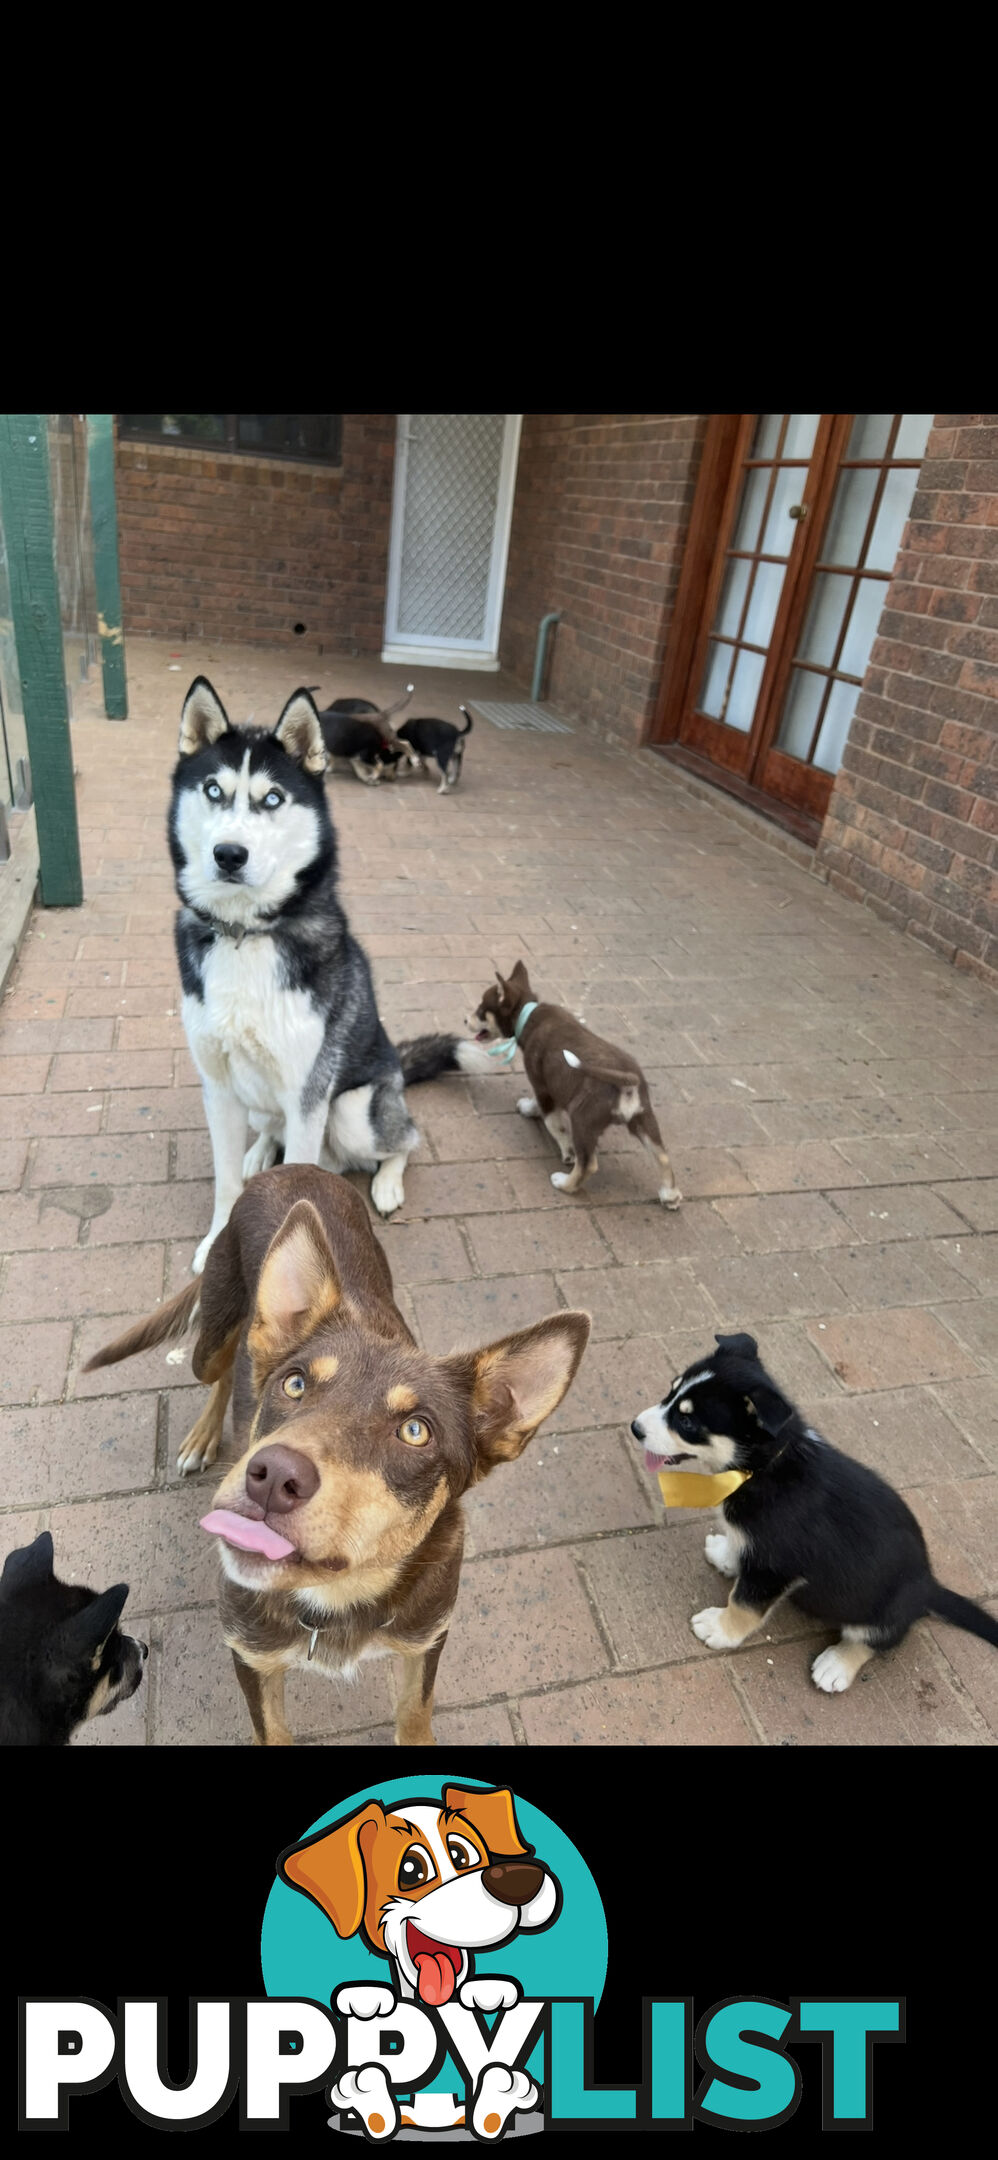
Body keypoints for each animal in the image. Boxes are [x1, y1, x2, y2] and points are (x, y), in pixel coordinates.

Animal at [85, 1157, 587, 1745]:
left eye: (416, 1431)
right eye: (295, 1384)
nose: (272, 1475)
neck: (337, 1599)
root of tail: (294, 1164)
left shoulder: (425, 1641)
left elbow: (415, 1715)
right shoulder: (252, 1657)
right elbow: (273, 1732)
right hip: (212, 1333)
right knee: (228, 1367)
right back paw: (204, 1435)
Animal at [470, 963, 682, 1218]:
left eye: (482, 1010)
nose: (465, 1020)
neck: (528, 1016)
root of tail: (626, 1082)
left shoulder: (543, 1086)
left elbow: (553, 1122)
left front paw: (557, 1141)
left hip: (583, 1120)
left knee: (587, 1163)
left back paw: (564, 1183)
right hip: (643, 1118)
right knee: (662, 1156)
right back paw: (670, 1196)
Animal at [630, 1321, 998, 1693]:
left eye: (687, 1422)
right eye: (670, 1391)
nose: (635, 1428)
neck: (762, 1468)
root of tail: (929, 1586)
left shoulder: (774, 1565)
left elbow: (744, 1603)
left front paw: (720, 1629)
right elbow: (738, 1550)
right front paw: (726, 1555)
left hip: (886, 1608)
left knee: (878, 1638)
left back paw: (836, 1665)